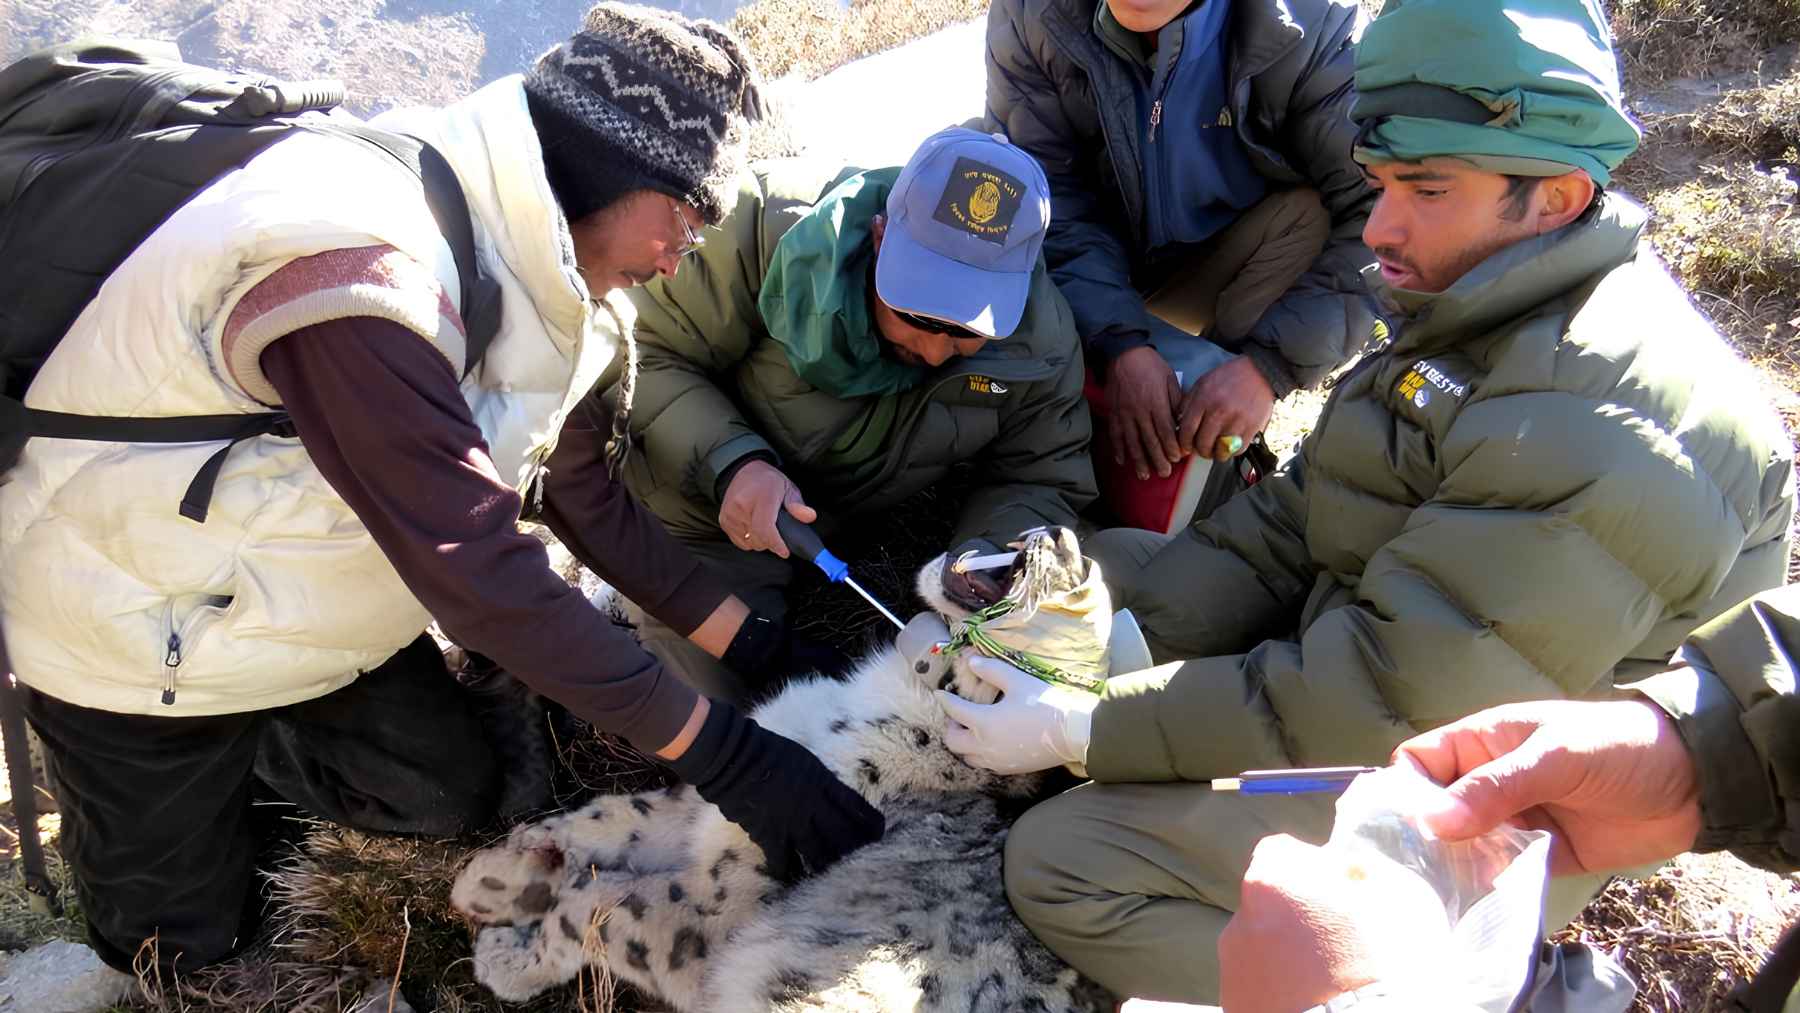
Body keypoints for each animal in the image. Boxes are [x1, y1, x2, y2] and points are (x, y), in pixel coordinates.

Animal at [449, 527, 1114, 1012]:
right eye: (1081, 569)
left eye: (1080, 592)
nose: (1058, 534)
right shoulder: (746, 784)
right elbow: (618, 816)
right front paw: (496, 879)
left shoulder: (716, 906)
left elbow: (600, 907)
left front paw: (508, 956)